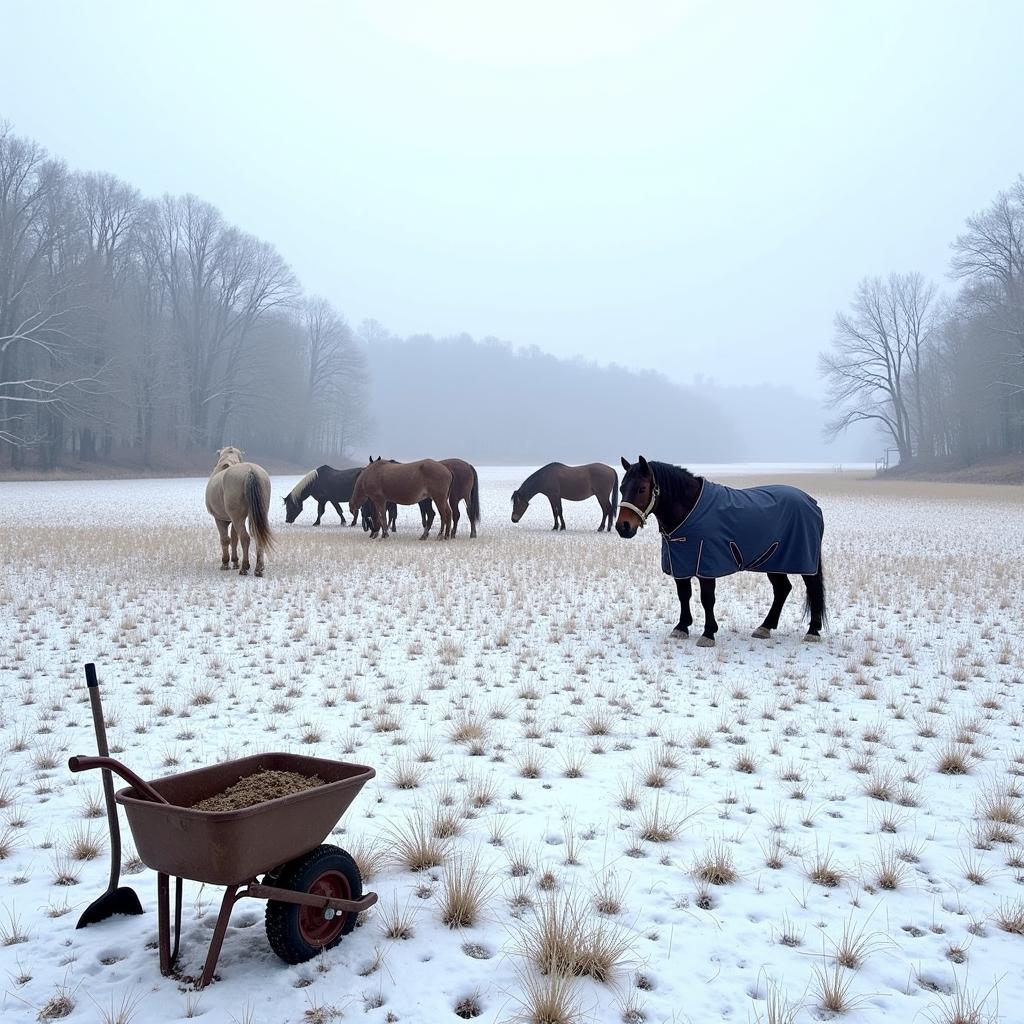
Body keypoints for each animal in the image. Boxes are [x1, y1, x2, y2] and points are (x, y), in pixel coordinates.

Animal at [203, 446, 274, 581]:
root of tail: (250, 471)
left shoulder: (220, 519)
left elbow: (226, 540)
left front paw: (225, 563)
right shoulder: (232, 520)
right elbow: (234, 539)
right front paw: (235, 561)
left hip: (237, 517)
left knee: (245, 538)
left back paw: (244, 567)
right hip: (255, 515)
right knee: (257, 536)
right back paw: (258, 568)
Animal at [610, 458, 827, 643]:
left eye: (642, 488)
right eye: (621, 488)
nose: (623, 527)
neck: (690, 512)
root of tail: (812, 503)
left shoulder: (706, 564)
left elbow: (707, 599)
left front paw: (708, 633)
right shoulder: (680, 563)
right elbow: (684, 594)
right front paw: (681, 627)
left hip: (803, 560)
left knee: (813, 588)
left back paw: (812, 631)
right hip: (773, 560)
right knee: (782, 589)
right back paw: (765, 627)